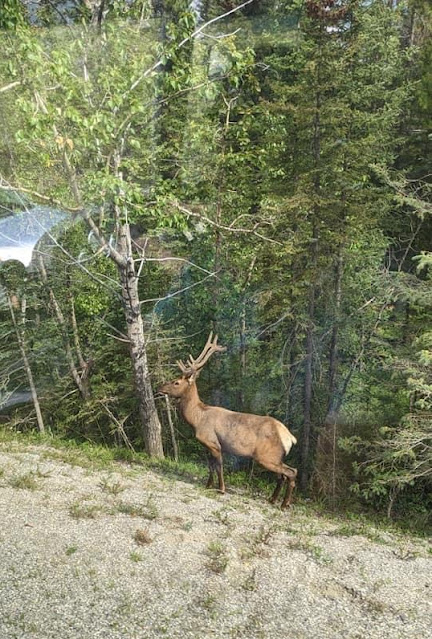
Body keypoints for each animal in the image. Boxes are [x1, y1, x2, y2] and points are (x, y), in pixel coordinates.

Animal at [159, 336, 296, 510]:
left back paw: (284, 504)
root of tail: (290, 438)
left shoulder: (213, 443)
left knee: (291, 472)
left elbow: (219, 466)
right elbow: (210, 467)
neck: (197, 418)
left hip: (266, 456)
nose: (160, 387)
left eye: (176, 382)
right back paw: (273, 500)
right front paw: (208, 485)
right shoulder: (206, 445)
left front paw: (222, 489)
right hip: (274, 457)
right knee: (282, 475)